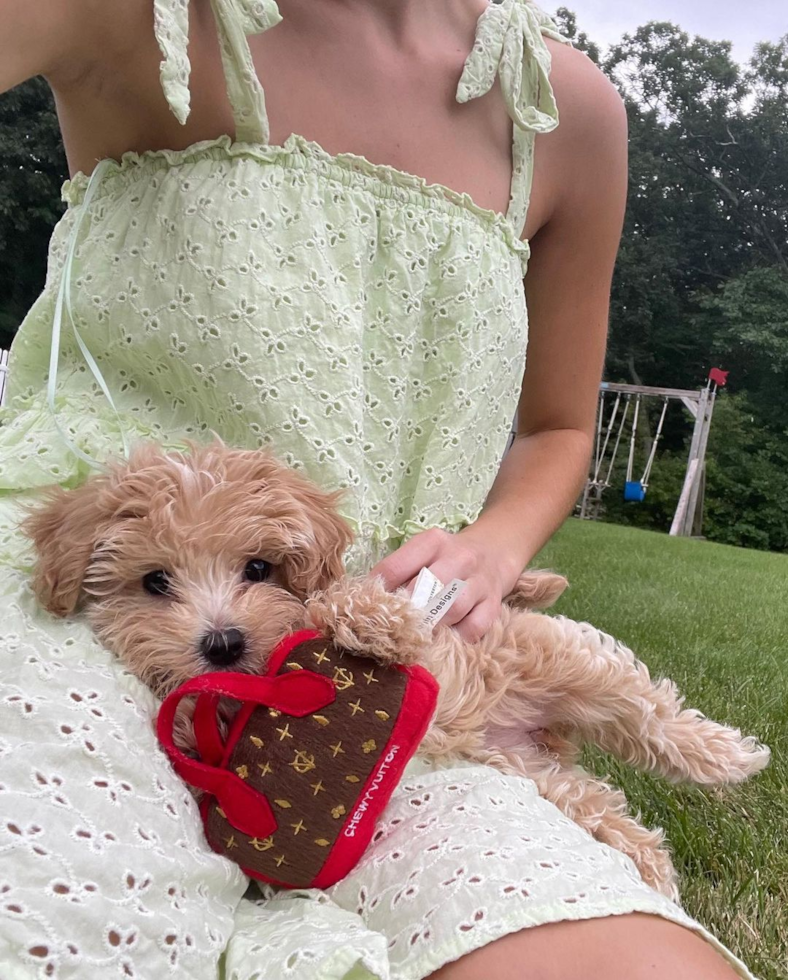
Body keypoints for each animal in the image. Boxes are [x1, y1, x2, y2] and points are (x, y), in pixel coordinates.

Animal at [26, 440, 768, 900]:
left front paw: (379, 624)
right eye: (154, 582)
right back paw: (649, 860)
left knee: (650, 713)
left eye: (258, 568)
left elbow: (345, 600)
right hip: (534, 771)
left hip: (561, 662)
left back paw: (730, 758)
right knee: (603, 804)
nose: (223, 645)